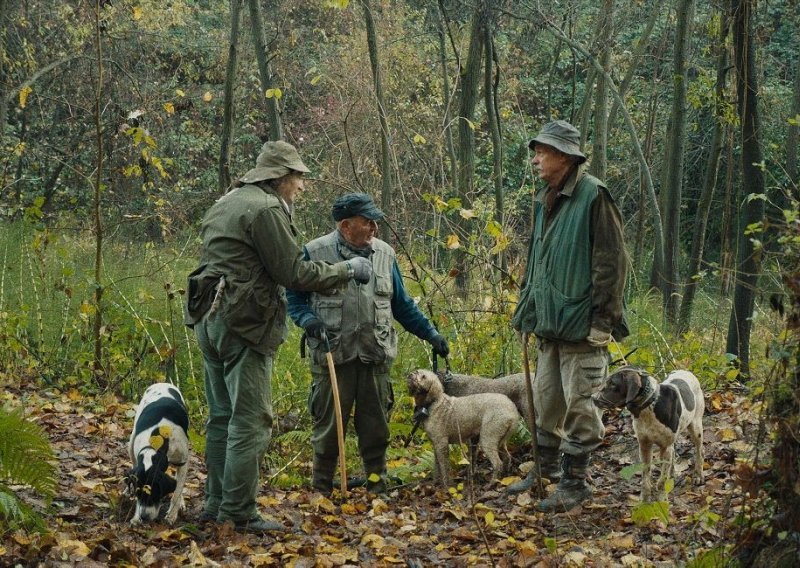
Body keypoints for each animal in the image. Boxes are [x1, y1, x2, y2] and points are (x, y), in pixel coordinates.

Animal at [127, 382, 191, 524]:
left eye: (155, 494)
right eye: (138, 494)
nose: (144, 517)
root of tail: (162, 383)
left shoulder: (183, 462)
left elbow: (177, 491)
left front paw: (172, 515)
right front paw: (135, 517)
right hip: (131, 442)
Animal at [592, 366, 704, 500]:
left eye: (613, 384)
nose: (592, 398)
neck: (648, 407)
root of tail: (686, 371)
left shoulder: (666, 447)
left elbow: (662, 480)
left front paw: (662, 499)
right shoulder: (644, 445)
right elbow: (645, 477)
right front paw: (644, 499)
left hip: (696, 427)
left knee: (699, 451)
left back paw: (698, 475)